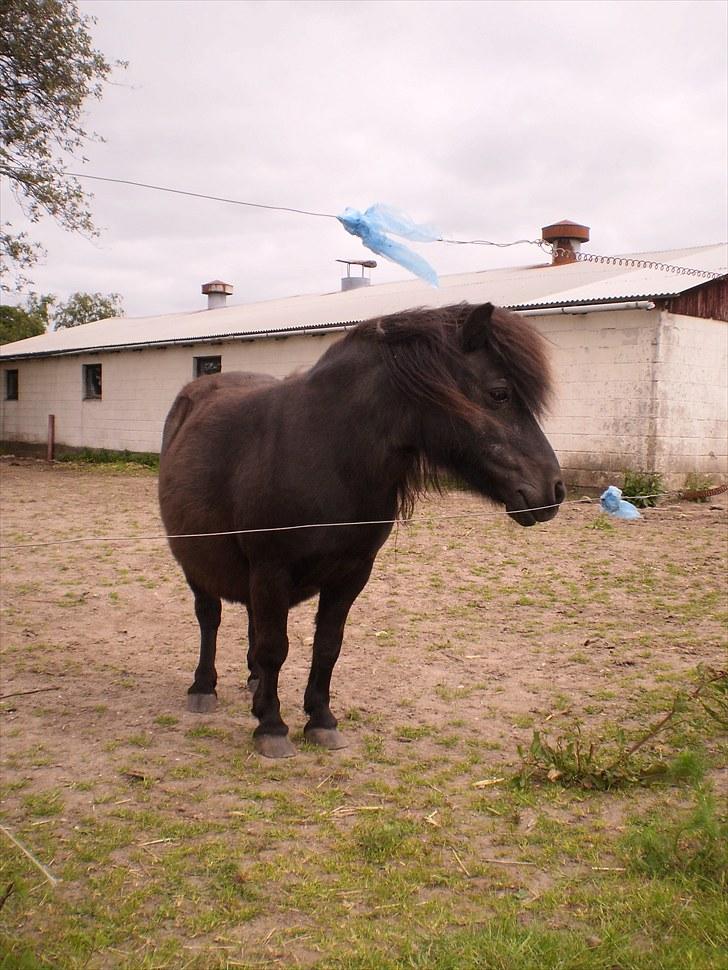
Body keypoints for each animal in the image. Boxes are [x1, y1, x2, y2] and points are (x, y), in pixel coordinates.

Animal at [159, 302, 564, 756]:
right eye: (499, 394)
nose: (554, 488)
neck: (329, 450)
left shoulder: (352, 574)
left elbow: (327, 646)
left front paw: (320, 719)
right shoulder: (270, 569)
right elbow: (275, 647)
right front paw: (272, 726)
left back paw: (253, 683)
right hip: (197, 561)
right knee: (209, 618)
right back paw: (203, 688)